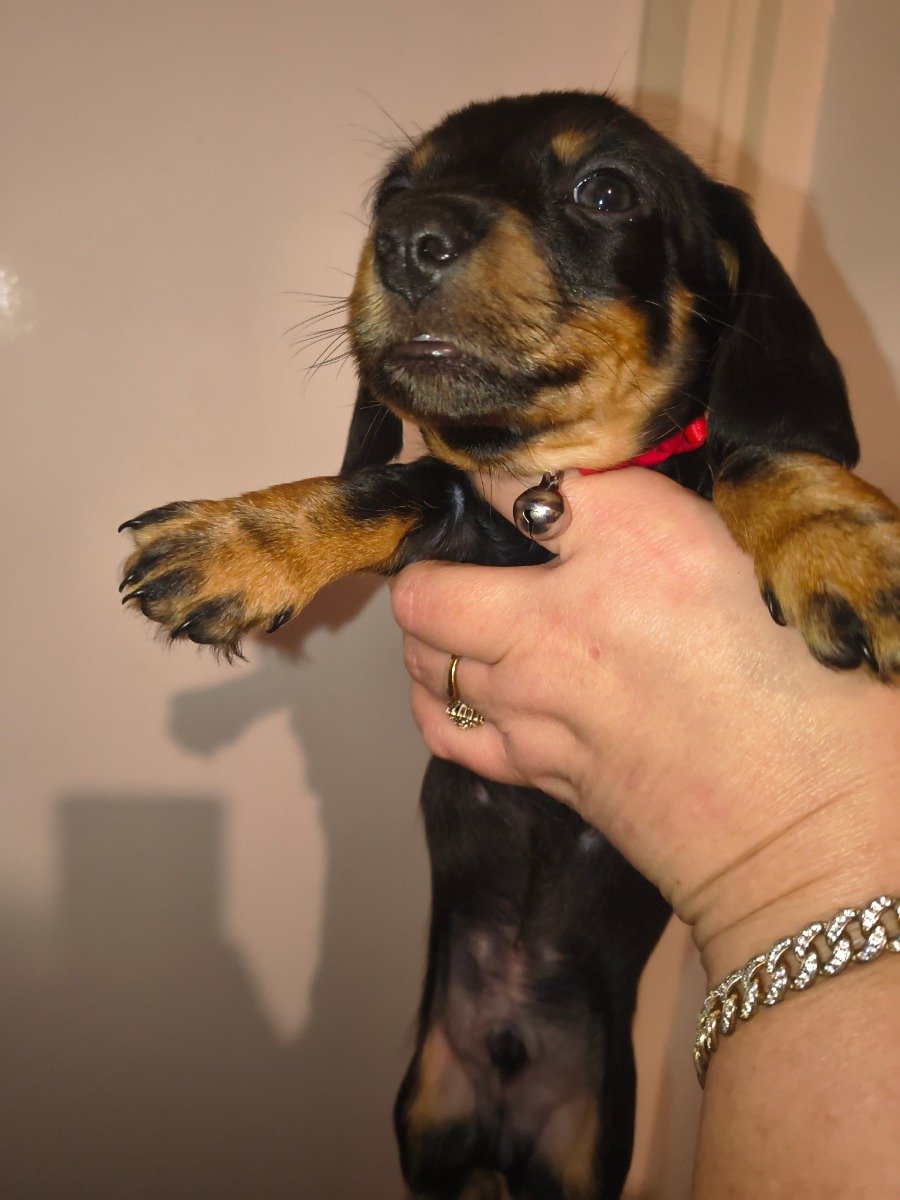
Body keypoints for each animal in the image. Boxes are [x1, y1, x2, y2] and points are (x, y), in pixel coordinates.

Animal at [119, 92, 900, 1198]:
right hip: (428, 1126)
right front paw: (237, 542)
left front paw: (841, 539)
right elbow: (393, 482)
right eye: (397, 190)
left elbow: (755, 455)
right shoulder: (450, 520)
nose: (407, 239)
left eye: (605, 190)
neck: (554, 475)